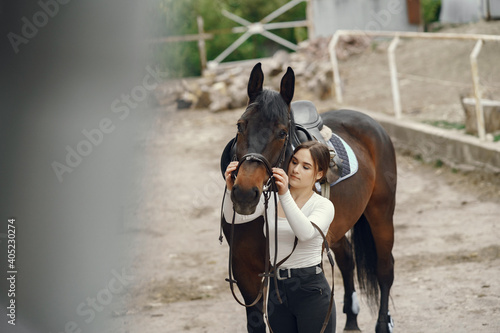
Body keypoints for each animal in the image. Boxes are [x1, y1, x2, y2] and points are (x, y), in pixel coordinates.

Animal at [221, 63, 396, 332]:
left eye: (282, 133)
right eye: (240, 125)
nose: (244, 193)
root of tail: (371, 123)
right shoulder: (244, 270)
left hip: (381, 215)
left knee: (385, 269)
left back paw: (382, 324)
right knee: (347, 260)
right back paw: (351, 319)